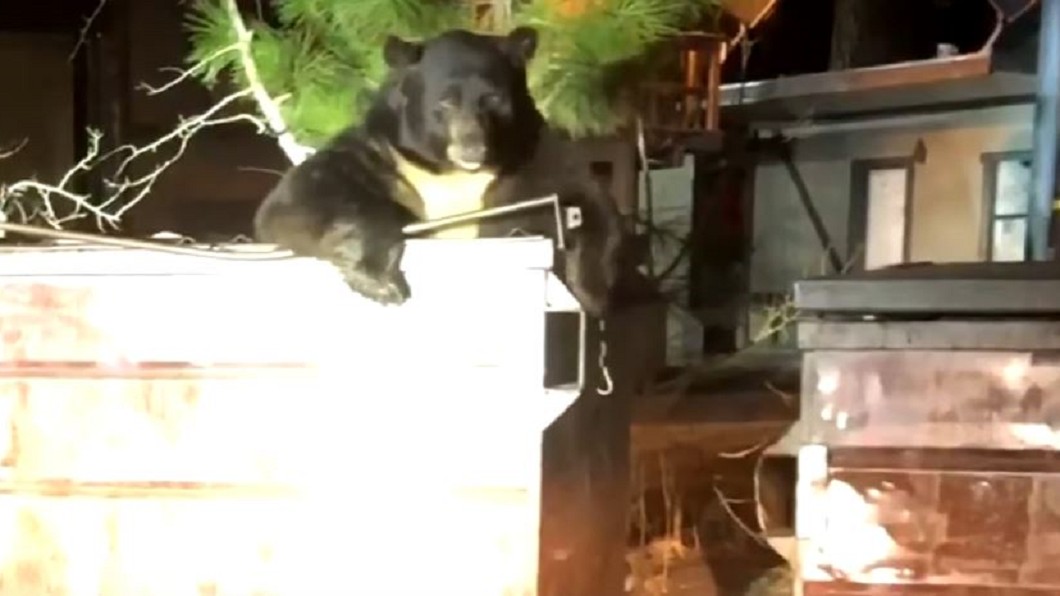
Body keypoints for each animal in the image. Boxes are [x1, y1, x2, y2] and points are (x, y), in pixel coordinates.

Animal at [253, 26, 627, 317]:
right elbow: (298, 199)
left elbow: (588, 199)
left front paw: (591, 292)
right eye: (446, 102)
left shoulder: (531, 157)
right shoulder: (382, 154)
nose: (473, 147)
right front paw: (379, 281)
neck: (452, 174)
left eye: (493, 99)